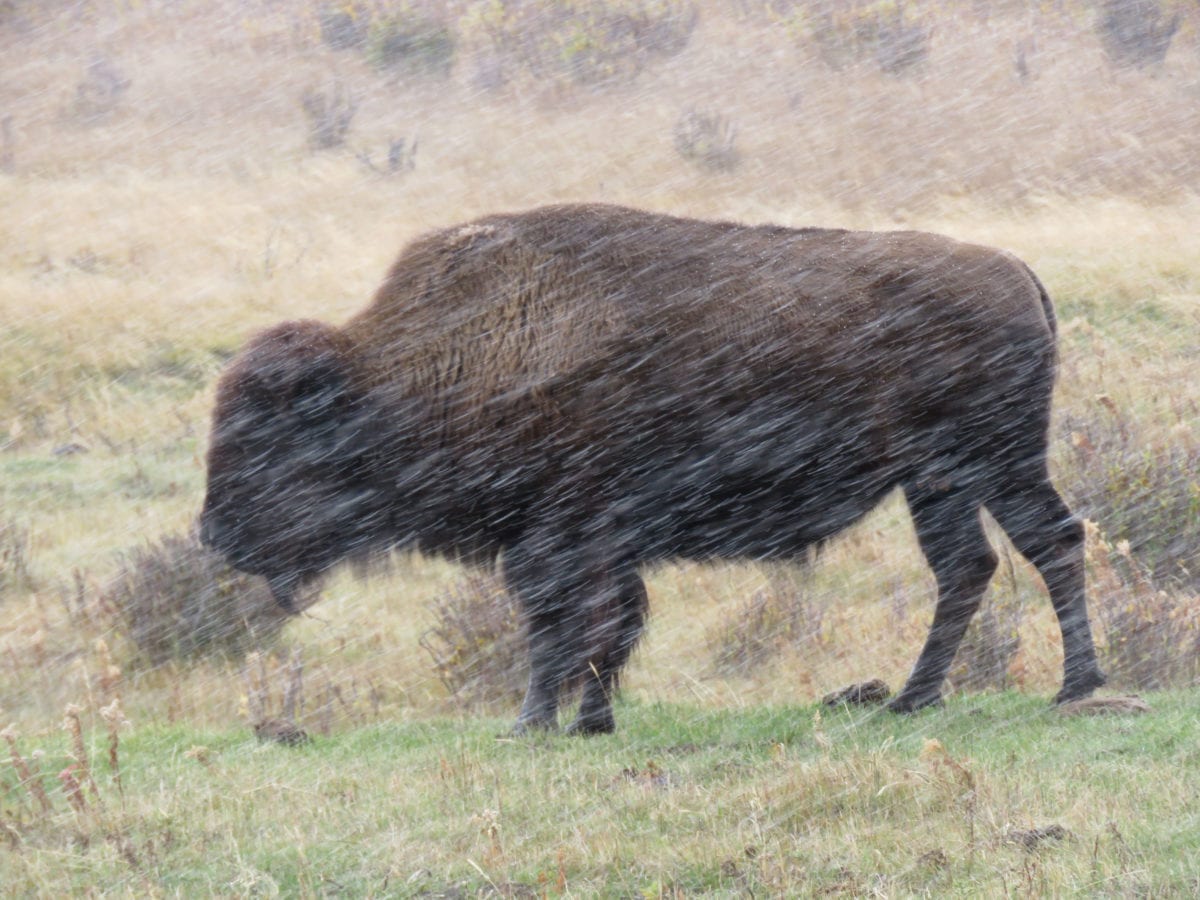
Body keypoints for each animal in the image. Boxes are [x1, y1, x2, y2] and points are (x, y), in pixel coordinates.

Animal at [199, 202, 1104, 734]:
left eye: (266, 438)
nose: (214, 535)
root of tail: (1016, 270)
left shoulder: (559, 530)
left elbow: (562, 622)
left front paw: (533, 723)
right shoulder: (602, 538)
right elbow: (612, 624)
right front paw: (588, 722)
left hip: (994, 459)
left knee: (1046, 543)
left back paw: (1075, 687)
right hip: (939, 481)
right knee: (976, 564)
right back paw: (921, 699)